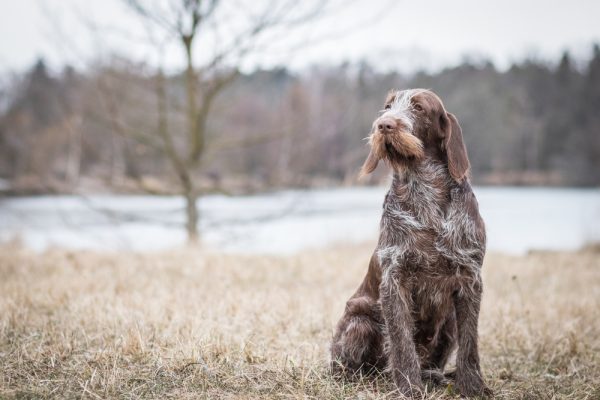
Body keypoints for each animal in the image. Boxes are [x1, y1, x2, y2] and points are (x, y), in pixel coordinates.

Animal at [330, 89, 490, 398]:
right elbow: (402, 343)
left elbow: (470, 345)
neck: (425, 190)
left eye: (418, 107)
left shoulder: (470, 279)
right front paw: (408, 388)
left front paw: (473, 387)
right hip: (360, 321)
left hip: (449, 320)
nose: (384, 125)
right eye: (388, 106)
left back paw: (433, 375)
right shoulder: (395, 281)